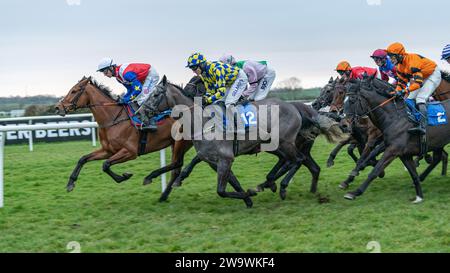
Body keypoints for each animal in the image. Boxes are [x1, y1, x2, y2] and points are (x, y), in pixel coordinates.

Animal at [54, 76, 192, 193]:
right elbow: (83, 159)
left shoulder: (130, 152)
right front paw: (70, 183)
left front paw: (124, 176)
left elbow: (105, 165)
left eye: (74, 91)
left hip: (180, 142)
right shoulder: (108, 150)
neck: (112, 119)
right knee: (177, 166)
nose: (57, 107)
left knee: (177, 164)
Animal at [344, 75, 450, 203]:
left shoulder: (393, 150)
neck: (395, 117)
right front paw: (419, 196)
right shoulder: (403, 153)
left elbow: (375, 170)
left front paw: (355, 192)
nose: (343, 124)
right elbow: (413, 174)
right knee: (438, 158)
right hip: (437, 143)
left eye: (352, 99)